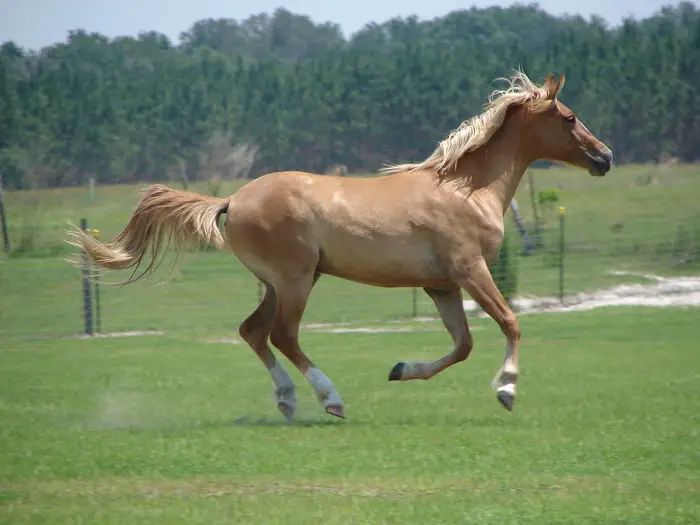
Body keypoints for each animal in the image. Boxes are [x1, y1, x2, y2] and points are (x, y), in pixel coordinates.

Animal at [67, 70, 612, 422]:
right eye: (569, 117)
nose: (605, 157)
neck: (466, 188)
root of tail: (232, 199)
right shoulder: (471, 270)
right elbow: (510, 324)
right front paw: (507, 389)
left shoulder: (441, 285)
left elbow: (462, 345)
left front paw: (400, 370)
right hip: (295, 280)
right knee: (283, 335)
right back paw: (330, 400)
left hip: (280, 283)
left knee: (253, 332)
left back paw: (288, 400)